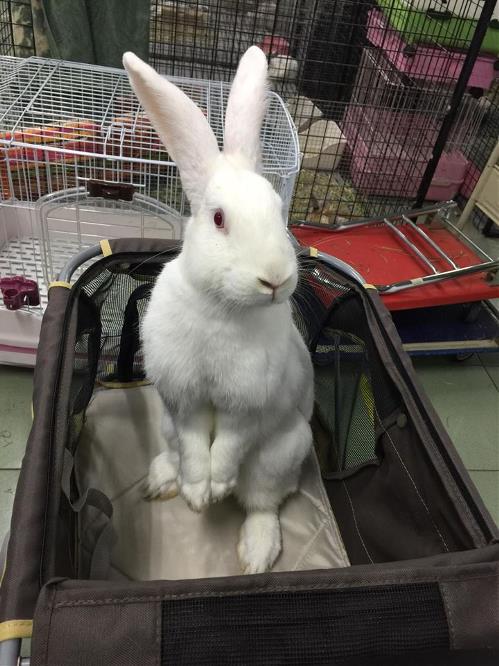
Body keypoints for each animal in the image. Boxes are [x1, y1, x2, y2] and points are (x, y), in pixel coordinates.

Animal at [123, 46, 314, 574]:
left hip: (280, 455)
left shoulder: (246, 405)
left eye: (277, 210)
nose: (275, 279)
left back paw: (256, 553)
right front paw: (195, 494)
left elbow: (227, 444)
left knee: (262, 504)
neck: (220, 308)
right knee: (174, 453)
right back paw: (160, 482)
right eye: (219, 218)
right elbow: (194, 445)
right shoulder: (181, 400)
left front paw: (217, 487)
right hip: (166, 427)